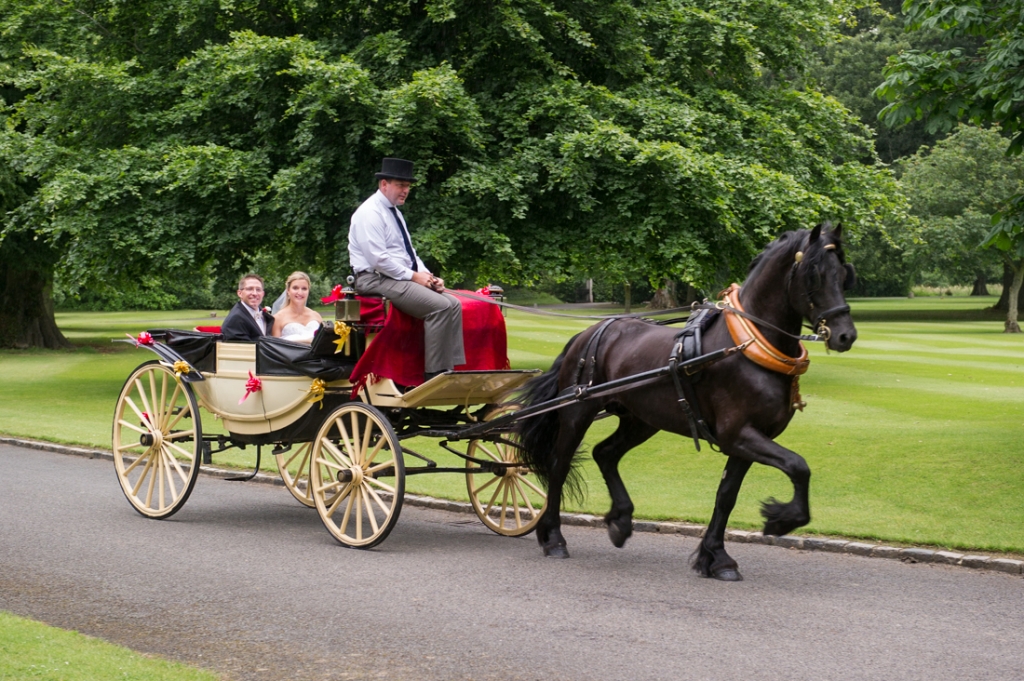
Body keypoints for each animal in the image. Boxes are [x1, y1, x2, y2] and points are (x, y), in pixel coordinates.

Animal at [512, 223, 856, 577]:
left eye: (845, 274)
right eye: (814, 274)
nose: (846, 335)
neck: (746, 345)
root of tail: (589, 332)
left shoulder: (749, 438)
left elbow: (727, 495)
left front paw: (716, 556)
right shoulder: (738, 434)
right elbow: (798, 466)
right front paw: (781, 519)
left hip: (641, 419)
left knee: (605, 453)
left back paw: (620, 520)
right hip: (577, 412)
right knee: (559, 465)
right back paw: (553, 537)